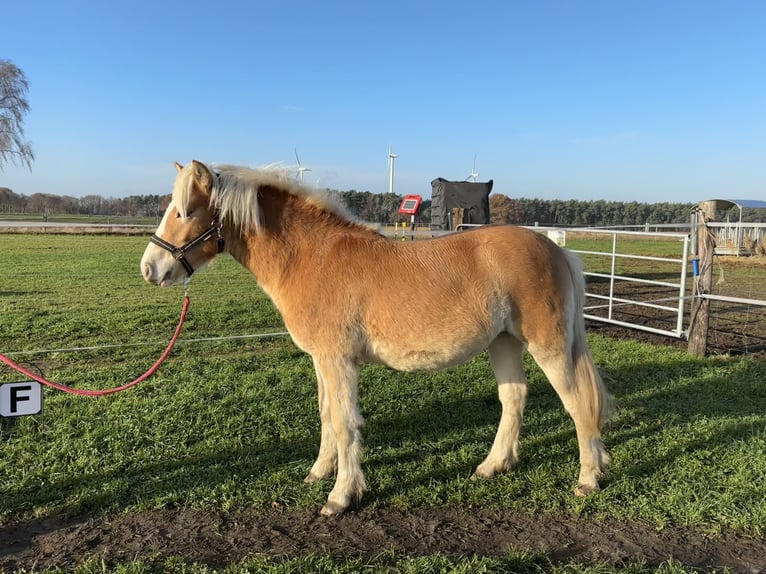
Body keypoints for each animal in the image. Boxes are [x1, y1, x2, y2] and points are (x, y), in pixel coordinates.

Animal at [141, 162, 616, 516]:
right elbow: (326, 415)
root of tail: (555, 249)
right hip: (503, 343)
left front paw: (341, 495)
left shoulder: (338, 361)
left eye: (185, 211)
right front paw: (319, 472)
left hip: (548, 346)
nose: (150, 269)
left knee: (578, 404)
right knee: (514, 398)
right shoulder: (322, 361)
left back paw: (588, 478)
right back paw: (493, 465)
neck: (311, 257)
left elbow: (344, 423)